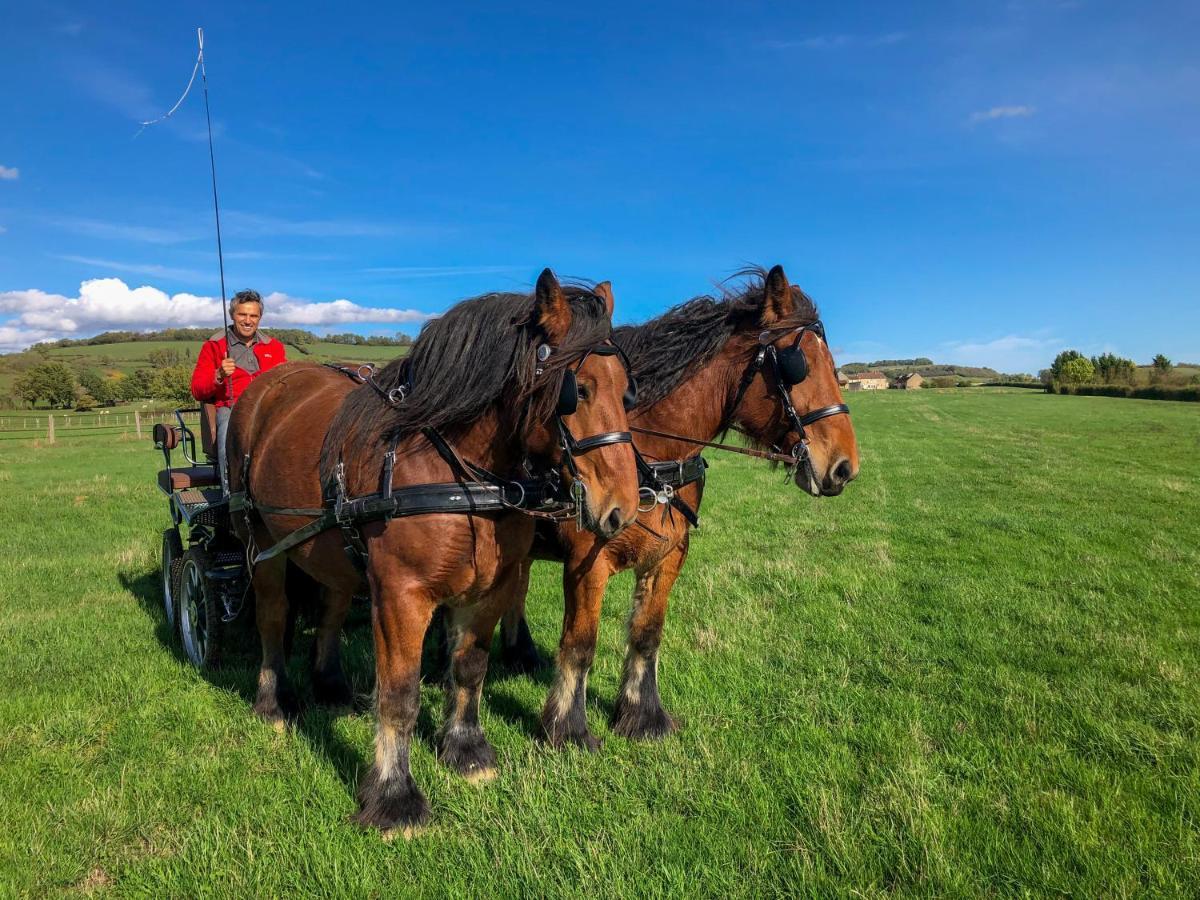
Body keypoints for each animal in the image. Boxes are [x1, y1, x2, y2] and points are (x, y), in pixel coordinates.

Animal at [223, 271, 638, 835]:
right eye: (581, 391)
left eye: (626, 390)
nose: (623, 510)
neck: (460, 475)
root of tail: (265, 388)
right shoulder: (402, 596)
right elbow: (399, 696)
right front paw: (394, 797)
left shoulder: (489, 589)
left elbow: (470, 669)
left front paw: (466, 751)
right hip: (262, 542)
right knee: (272, 614)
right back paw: (273, 701)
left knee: (331, 609)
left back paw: (329, 685)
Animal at [499, 264, 864, 748]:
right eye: (798, 365)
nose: (845, 466)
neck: (651, 456)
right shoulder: (585, 565)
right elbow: (579, 645)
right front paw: (567, 729)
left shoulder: (669, 556)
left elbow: (647, 635)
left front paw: (642, 716)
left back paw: (518, 654)